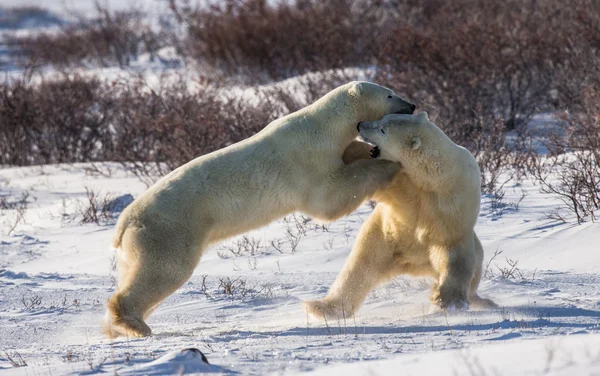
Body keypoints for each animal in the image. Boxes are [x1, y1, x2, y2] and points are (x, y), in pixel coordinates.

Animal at [104, 80, 412, 338]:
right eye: (389, 94)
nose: (411, 105)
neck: (322, 126)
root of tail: (124, 223)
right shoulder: (306, 160)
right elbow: (329, 197)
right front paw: (388, 165)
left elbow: (348, 156)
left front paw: (369, 151)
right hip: (170, 232)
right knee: (165, 271)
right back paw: (134, 324)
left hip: (138, 246)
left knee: (137, 273)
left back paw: (116, 329)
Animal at [304, 111, 496, 320]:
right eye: (383, 118)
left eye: (382, 129)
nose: (360, 125)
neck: (428, 177)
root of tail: (410, 264)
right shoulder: (399, 181)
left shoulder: (452, 200)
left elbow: (452, 248)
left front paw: (447, 300)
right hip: (382, 240)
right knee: (359, 268)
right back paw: (323, 307)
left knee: (475, 265)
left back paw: (480, 300)